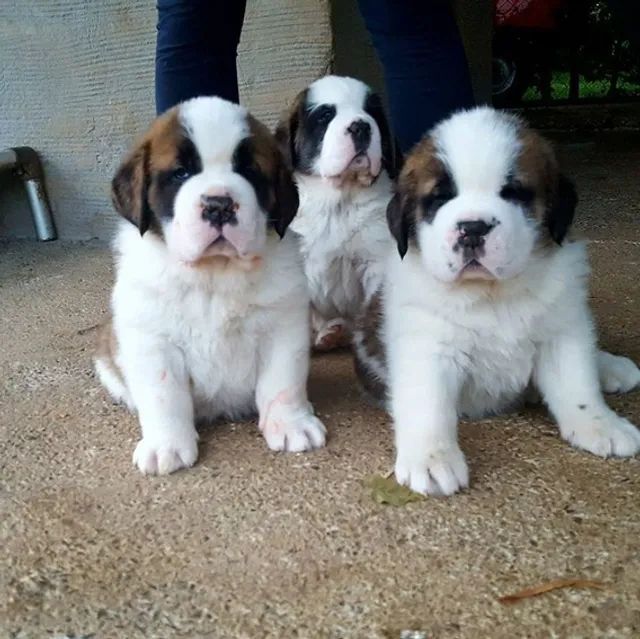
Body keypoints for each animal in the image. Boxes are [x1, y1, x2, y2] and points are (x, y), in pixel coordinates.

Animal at [96, 95, 324, 476]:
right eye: (181, 173)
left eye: (249, 171)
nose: (218, 205)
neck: (214, 274)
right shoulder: (151, 339)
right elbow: (163, 394)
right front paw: (166, 444)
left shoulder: (283, 326)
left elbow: (283, 381)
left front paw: (291, 424)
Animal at [356, 106, 640, 496]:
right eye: (440, 198)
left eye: (513, 193)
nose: (473, 228)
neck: (490, 293)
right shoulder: (427, 344)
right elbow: (427, 401)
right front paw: (431, 457)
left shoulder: (562, 330)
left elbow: (576, 383)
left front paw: (600, 423)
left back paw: (611, 367)